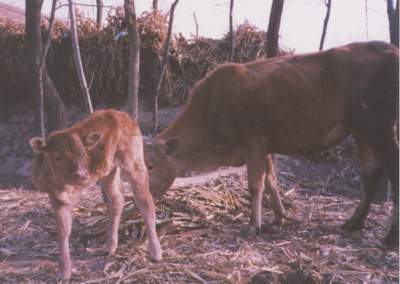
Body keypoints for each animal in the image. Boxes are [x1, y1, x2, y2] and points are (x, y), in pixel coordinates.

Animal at [145, 41, 398, 247]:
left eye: (150, 165)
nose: (144, 196)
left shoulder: (253, 144)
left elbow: (255, 185)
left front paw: (253, 226)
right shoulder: (266, 147)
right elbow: (271, 180)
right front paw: (279, 217)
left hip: (380, 130)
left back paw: (389, 239)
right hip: (361, 133)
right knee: (372, 175)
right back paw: (354, 223)